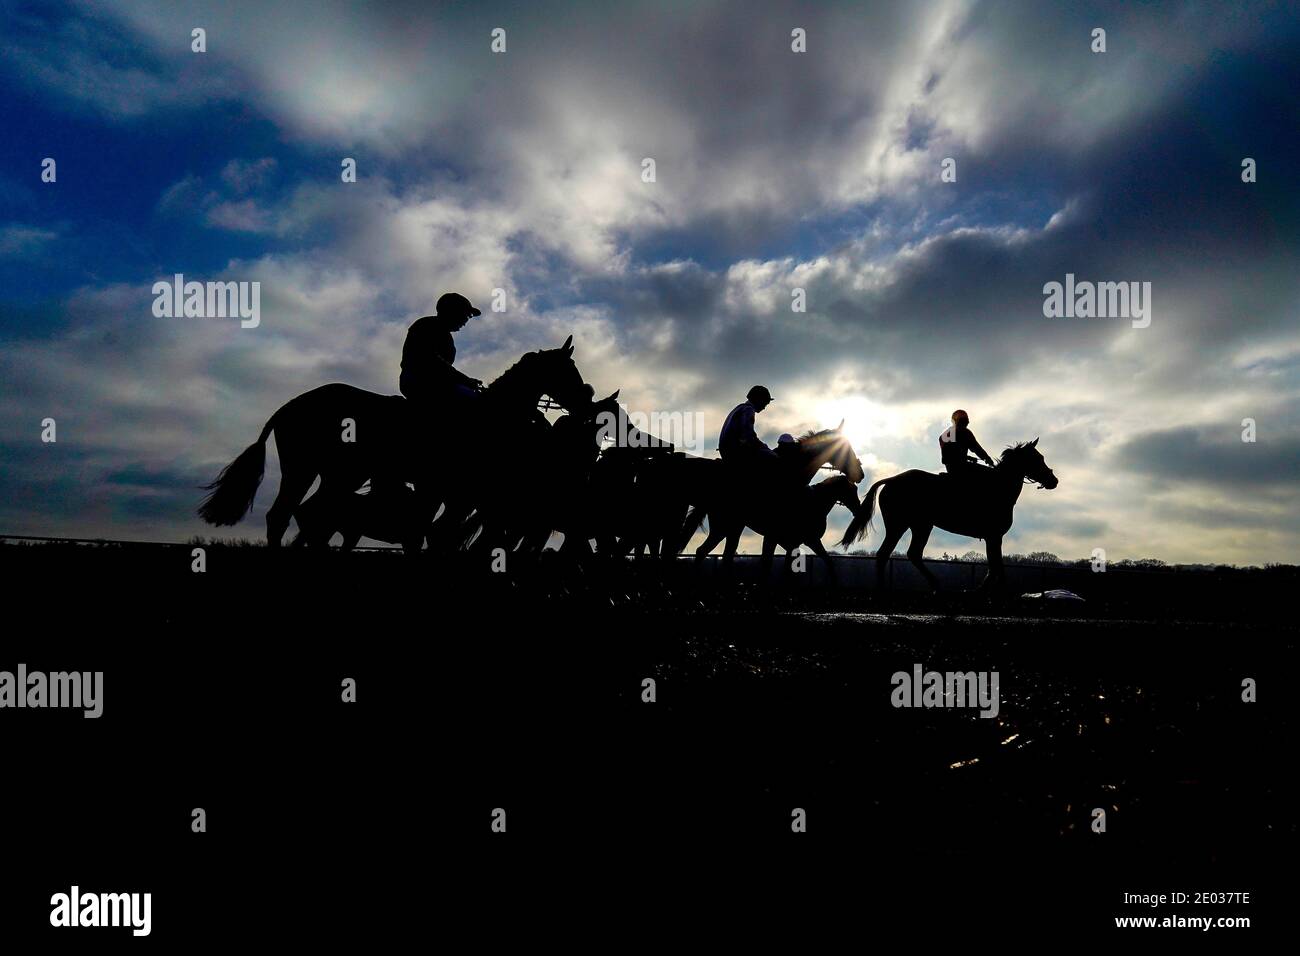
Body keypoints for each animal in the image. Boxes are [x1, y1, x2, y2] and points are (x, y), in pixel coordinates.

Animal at [195, 335, 587, 546]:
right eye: (567, 370)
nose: (587, 396)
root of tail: (291, 405)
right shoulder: (457, 491)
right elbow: (436, 534)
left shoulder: (452, 492)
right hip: (310, 469)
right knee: (289, 516)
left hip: (331, 474)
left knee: (305, 515)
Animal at [842, 439, 1055, 590]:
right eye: (1038, 458)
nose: (1054, 480)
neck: (999, 488)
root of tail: (892, 479)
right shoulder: (993, 536)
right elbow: (997, 567)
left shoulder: (993, 538)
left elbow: (995, 566)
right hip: (906, 525)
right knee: (893, 554)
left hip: (915, 525)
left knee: (902, 554)